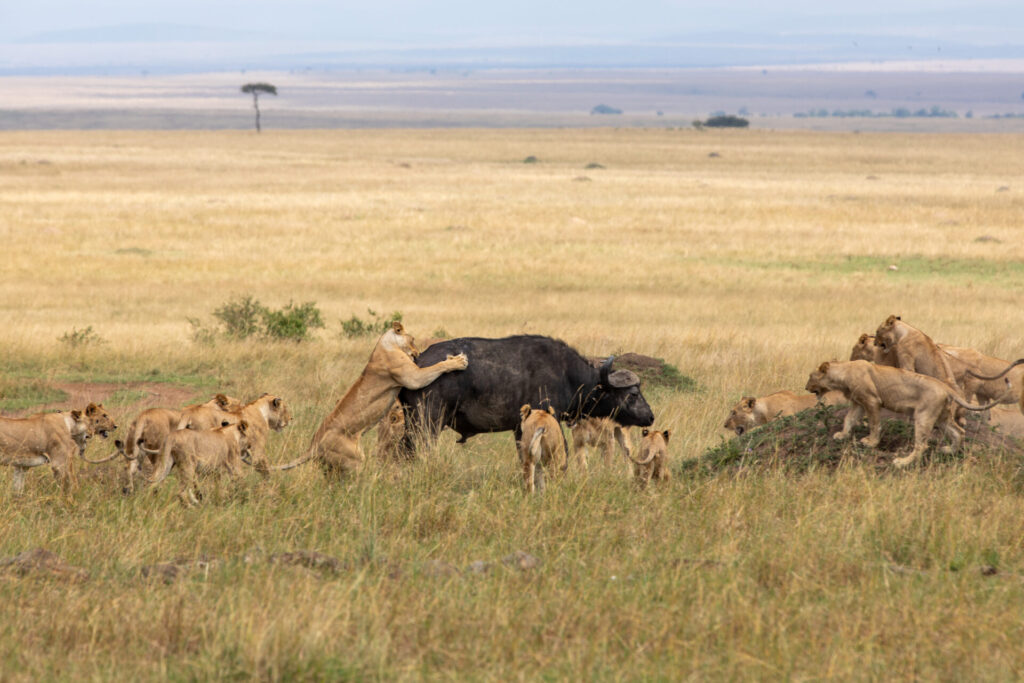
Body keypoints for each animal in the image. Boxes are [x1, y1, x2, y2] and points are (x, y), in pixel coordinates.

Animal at [398, 335, 655, 452]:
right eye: (634, 393)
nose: (650, 416)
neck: (568, 374)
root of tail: (416, 363)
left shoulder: (519, 429)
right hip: (427, 424)